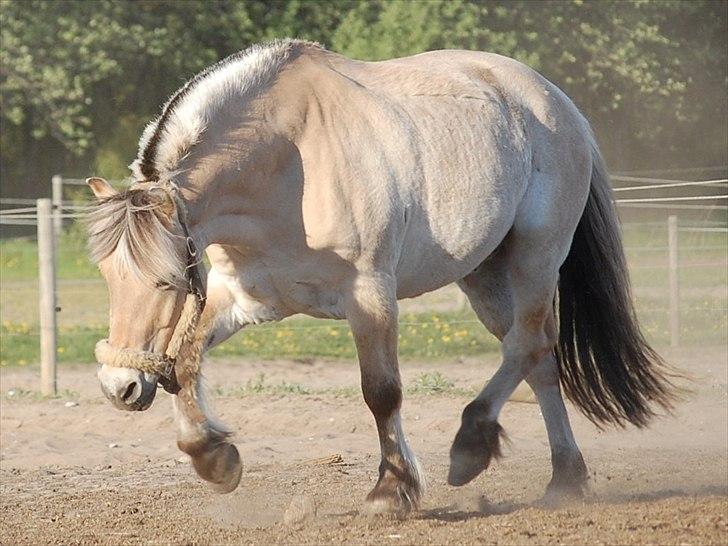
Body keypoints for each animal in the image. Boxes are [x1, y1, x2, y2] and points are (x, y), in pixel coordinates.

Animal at [86, 40, 676, 512]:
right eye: (108, 279)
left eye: (167, 281)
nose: (120, 387)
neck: (288, 164)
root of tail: (558, 103)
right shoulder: (243, 300)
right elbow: (185, 364)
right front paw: (215, 458)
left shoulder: (369, 295)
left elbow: (382, 392)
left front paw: (391, 492)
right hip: (484, 275)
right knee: (538, 356)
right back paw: (565, 479)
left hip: (535, 256)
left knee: (526, 344)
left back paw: (472, 445)